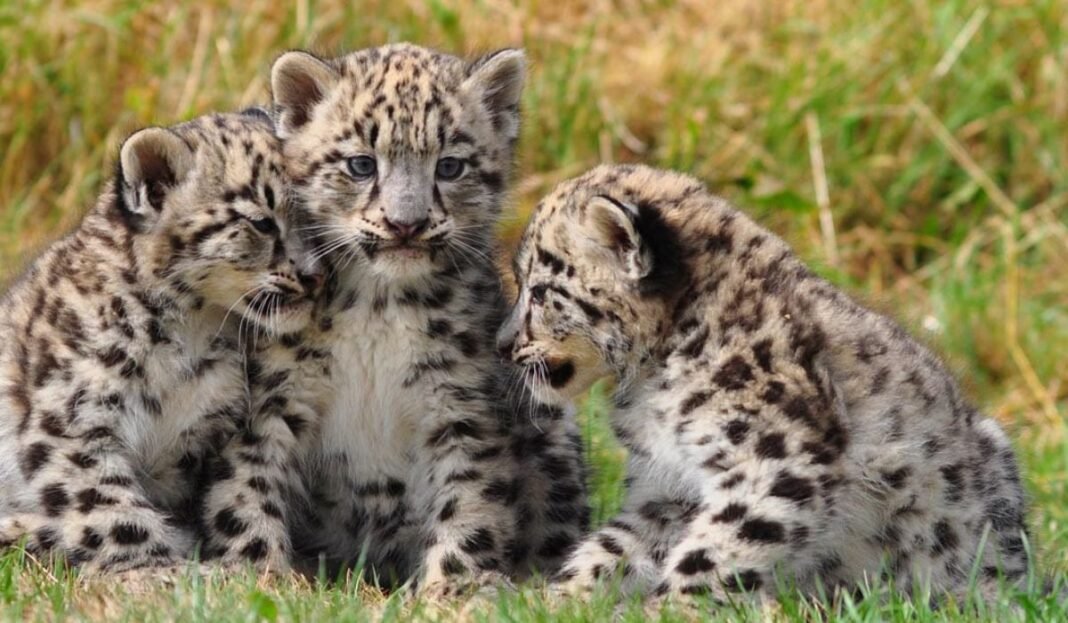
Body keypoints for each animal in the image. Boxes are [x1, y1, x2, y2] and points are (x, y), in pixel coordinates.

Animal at [0, 110, 322, 572]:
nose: (316, 276)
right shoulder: (72, 421)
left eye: (315, 218)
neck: (190, 332)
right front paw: (165, 571)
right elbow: (113, 510)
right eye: (262, 221)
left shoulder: (207, 432)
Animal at [198, 43, 589, 592]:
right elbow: (247, 488)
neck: (378, 306)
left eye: (450, 166)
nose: (407, 224)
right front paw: (254, 572)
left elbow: (470, 499)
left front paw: (453, 586)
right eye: (362, 164)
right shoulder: (270, 398)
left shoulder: (461, 406)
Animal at [497, 163, 1030, 604]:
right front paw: (557, 598)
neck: (652, 387)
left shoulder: (776, 458)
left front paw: (671, 608)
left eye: (540, 291)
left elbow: (717, 549)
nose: (502, 343)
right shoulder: (670, 485)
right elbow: (617, 545)